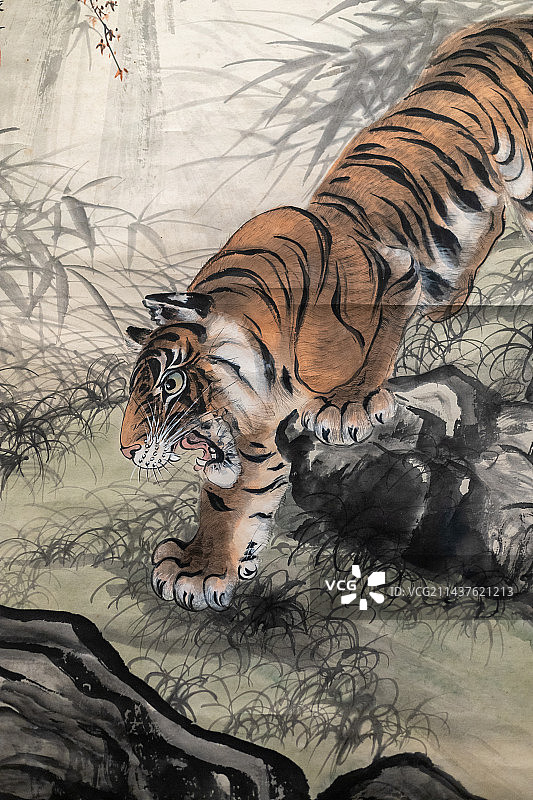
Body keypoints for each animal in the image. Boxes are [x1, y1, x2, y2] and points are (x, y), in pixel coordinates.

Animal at [121, 17, 533, 610]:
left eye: (171, 385)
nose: (129, 450)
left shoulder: (397, 271)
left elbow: (377, 346)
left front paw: (345, 405)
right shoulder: (254, 430)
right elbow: (231, 499)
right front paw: (200, 570)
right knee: (490, 219)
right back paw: (448, 299)